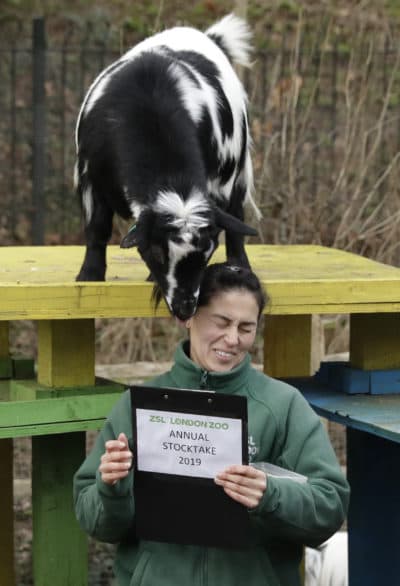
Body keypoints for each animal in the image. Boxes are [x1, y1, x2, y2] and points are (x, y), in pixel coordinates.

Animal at [75, 13, 260, 322]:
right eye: (157, 253)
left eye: (208, 252)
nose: (185, 308)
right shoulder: (90, 176)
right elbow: (98, 227)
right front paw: (89, 276)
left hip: (236, 167)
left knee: (236, 215)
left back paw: (240, 263)